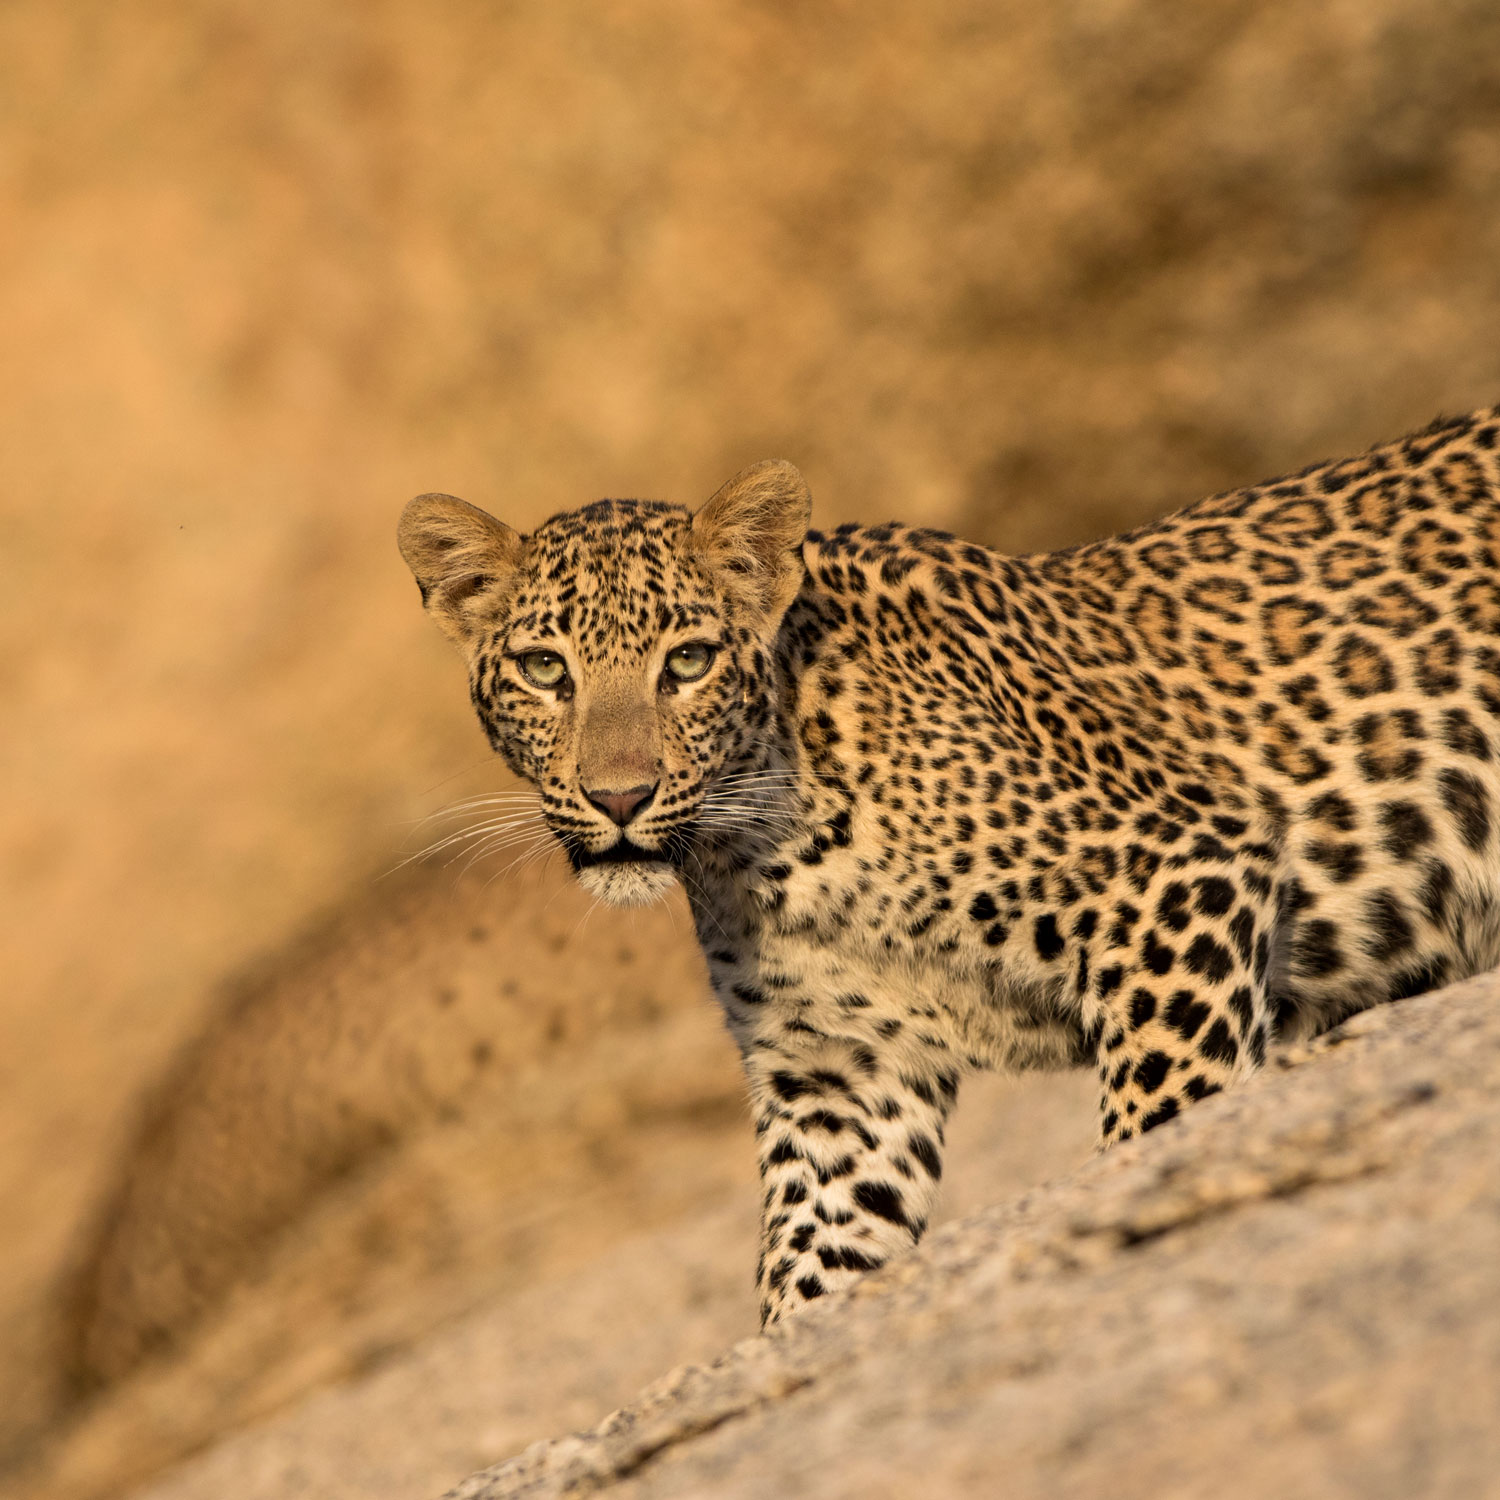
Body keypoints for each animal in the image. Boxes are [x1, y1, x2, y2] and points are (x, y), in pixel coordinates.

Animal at [399, 408, 1500, 1326]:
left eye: (688, 663)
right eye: (546, 670)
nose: (619, 799)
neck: (762, 849)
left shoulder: (1181, 876)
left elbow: (1160, 1118)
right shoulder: (837, 1076)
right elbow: (807, 1271)